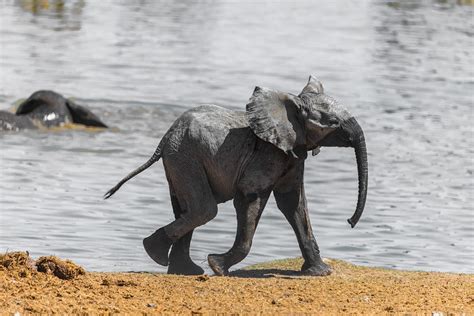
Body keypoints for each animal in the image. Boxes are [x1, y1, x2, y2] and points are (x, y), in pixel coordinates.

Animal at [105, 76, 368, 276]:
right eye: (333, 122)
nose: (350, 222)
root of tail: (164, 138)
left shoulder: (293, 154)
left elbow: (293, 203)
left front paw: (320, 273)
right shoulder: (267, 155)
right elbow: (249, 197)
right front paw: (217, 267)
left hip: (179, 157)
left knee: (185, 208)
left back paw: (182, 270)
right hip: (184, 155)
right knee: (204, 209)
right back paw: (157, 253)